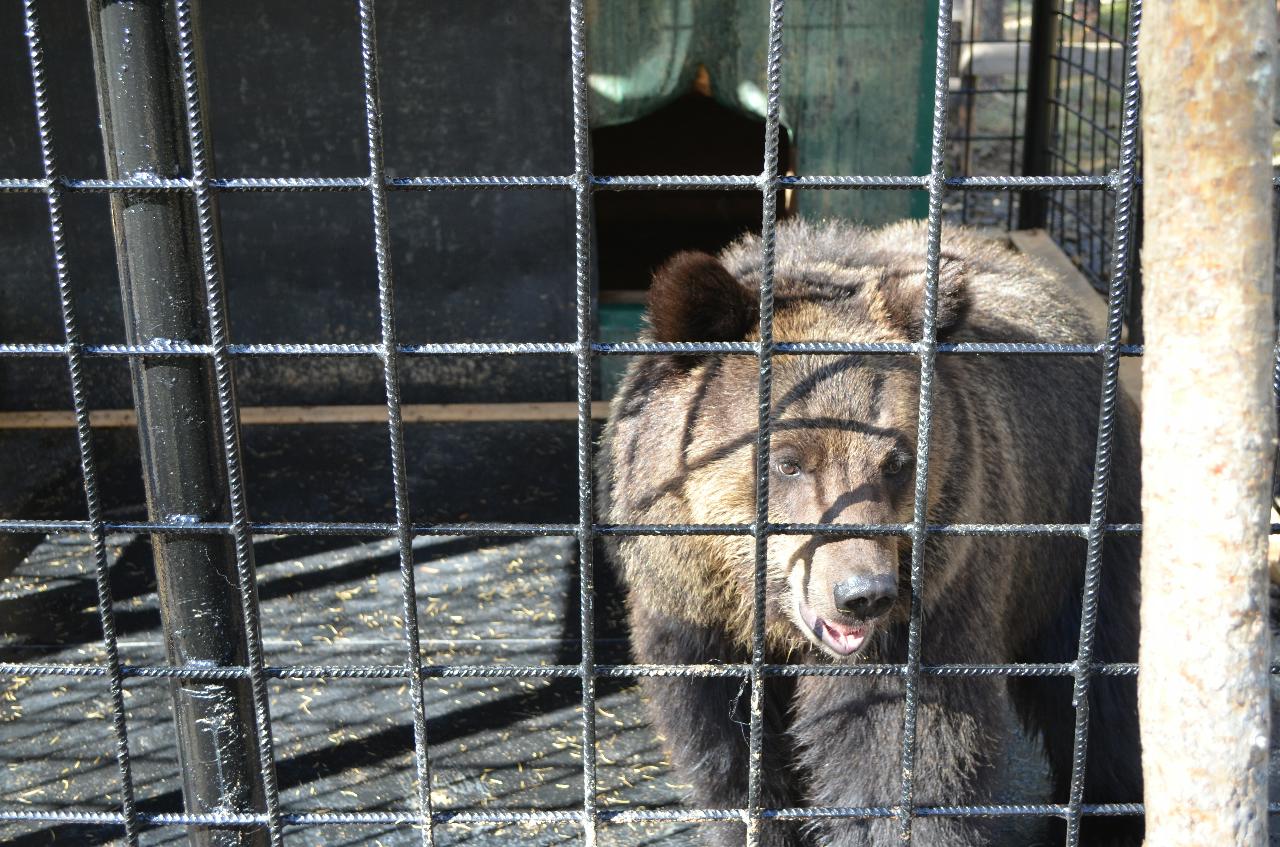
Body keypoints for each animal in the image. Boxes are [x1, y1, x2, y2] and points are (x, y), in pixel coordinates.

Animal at [593, 220, 1146, 847]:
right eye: (788, 461)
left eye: (896, 462)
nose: (862, 594)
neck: (771, 621)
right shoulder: (693, 617)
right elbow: (726, 755)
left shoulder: (929, 612)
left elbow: (905, 757)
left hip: (1078, 525)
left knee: (1101, 679)